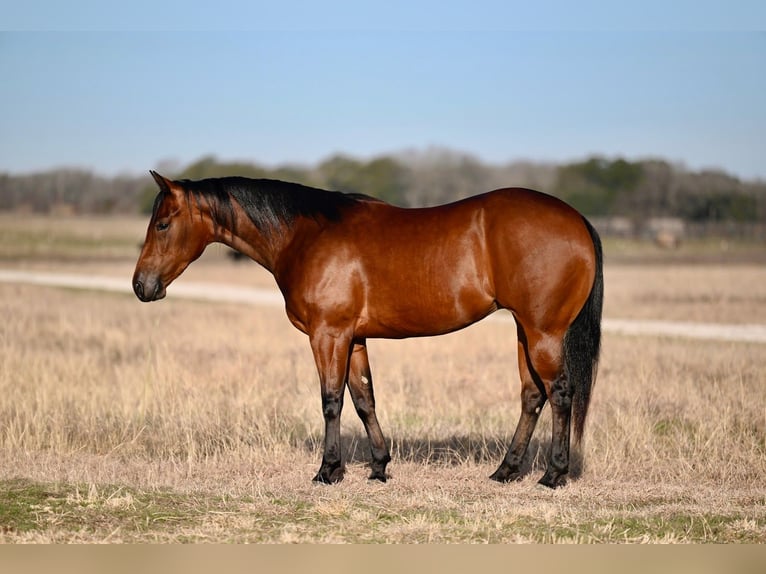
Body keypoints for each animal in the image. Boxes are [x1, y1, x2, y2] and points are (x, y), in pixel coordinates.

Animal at [136, 171, 608, 490]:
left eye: (162, 224)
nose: (142, 286)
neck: (306, 236)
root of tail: (577, 220)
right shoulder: (354, 338)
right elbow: (364, 399)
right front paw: (379, 466)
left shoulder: (328, 335)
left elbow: (331, 401)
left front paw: (328, 470)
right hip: (524, 331)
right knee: (532, 395)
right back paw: (506, 471)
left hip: (543, 331)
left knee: (560, 392)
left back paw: (552, 474)